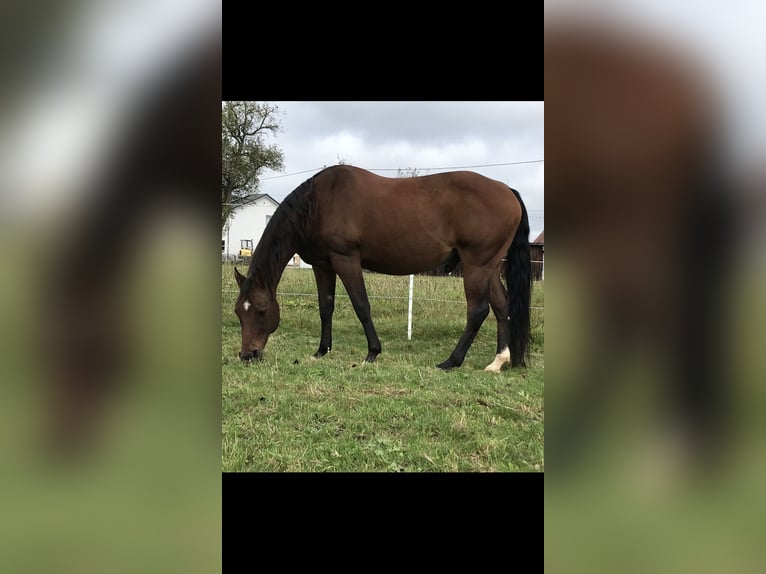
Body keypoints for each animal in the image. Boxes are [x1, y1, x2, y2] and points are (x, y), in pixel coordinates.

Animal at [234, 166, 536, 374]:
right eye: (238, 312)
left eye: (262, 311)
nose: (248, 354)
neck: (319, 202)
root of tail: (507, 191)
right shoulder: (322, 266)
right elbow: (325, 307)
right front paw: (322, 350)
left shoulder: (346, 260)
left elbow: (361, 305)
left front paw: (372, 352)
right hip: (489, 267)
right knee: (502, 306)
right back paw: (499, 361)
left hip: (476, 265)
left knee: (478, 311)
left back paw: (452, 361)